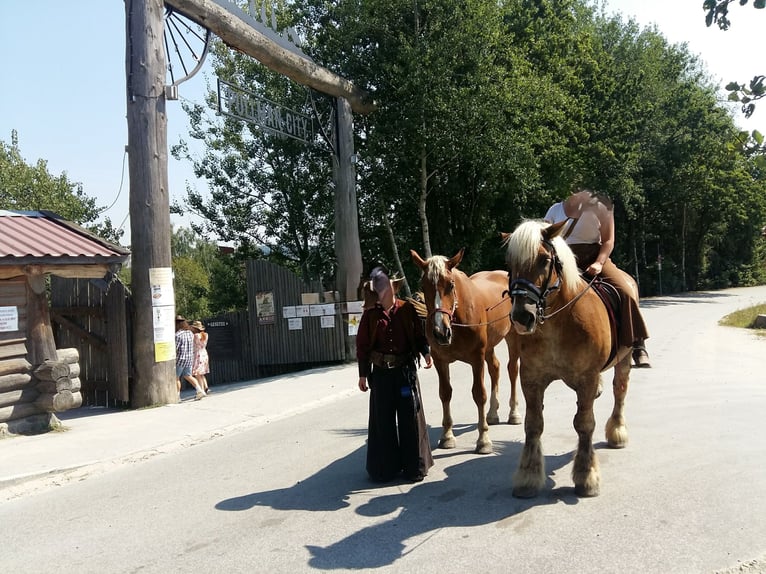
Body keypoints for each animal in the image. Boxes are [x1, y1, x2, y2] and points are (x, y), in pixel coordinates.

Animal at [412, 250, 524, 456]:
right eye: (424, 286)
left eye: (450, 284)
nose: (440, 332)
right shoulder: (440, 360)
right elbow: (445, 393)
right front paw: (447, 436)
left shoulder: (476, 358)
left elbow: (479, 394)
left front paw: (483, 440)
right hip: (490, 346)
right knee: (495, 368)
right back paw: (492, 413)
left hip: (512, 337)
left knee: (512, 369)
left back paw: (514, 413)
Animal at [504, 220, 632, 500]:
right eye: (510, 263)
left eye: (544, 259)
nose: (521, 317)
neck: (558, 323)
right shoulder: (531, 378)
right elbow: (533, 425)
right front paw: (528, 476)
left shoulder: (586, 379)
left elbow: (584, 424)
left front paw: (586, 476)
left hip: (625, 359)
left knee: (619, 392)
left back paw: (617, 431)